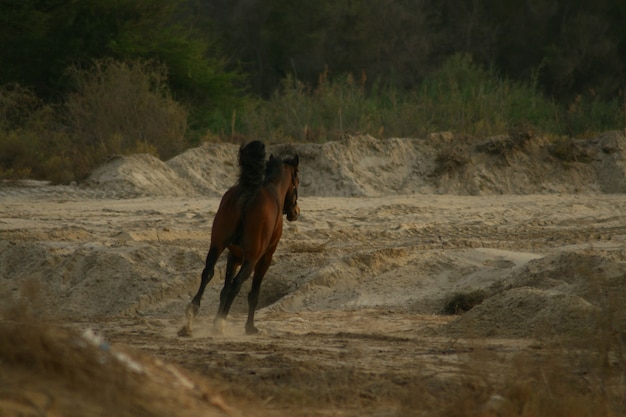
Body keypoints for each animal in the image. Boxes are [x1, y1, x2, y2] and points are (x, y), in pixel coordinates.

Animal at [178, 140, 300, 334]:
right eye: (297, 182)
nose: (295, 212)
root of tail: (249, 193)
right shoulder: (265, 258)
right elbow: (252, 293)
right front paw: (249, 326)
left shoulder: (233, 256)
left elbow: (224, 290)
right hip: (251, 258)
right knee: (237, 283)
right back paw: (221, 322)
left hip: (217, 246)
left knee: (208, 273)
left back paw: (192, 315)